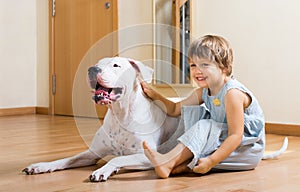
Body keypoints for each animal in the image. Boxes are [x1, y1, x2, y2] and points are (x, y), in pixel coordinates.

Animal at [22, 57, 182, 182]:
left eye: (116, 65)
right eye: (97, 63)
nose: (92, 69)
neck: (120, 114)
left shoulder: (147, 156)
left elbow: (116, 158)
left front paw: (102, 170)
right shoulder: (92, 153)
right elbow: (68, 159)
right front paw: (41, 166)